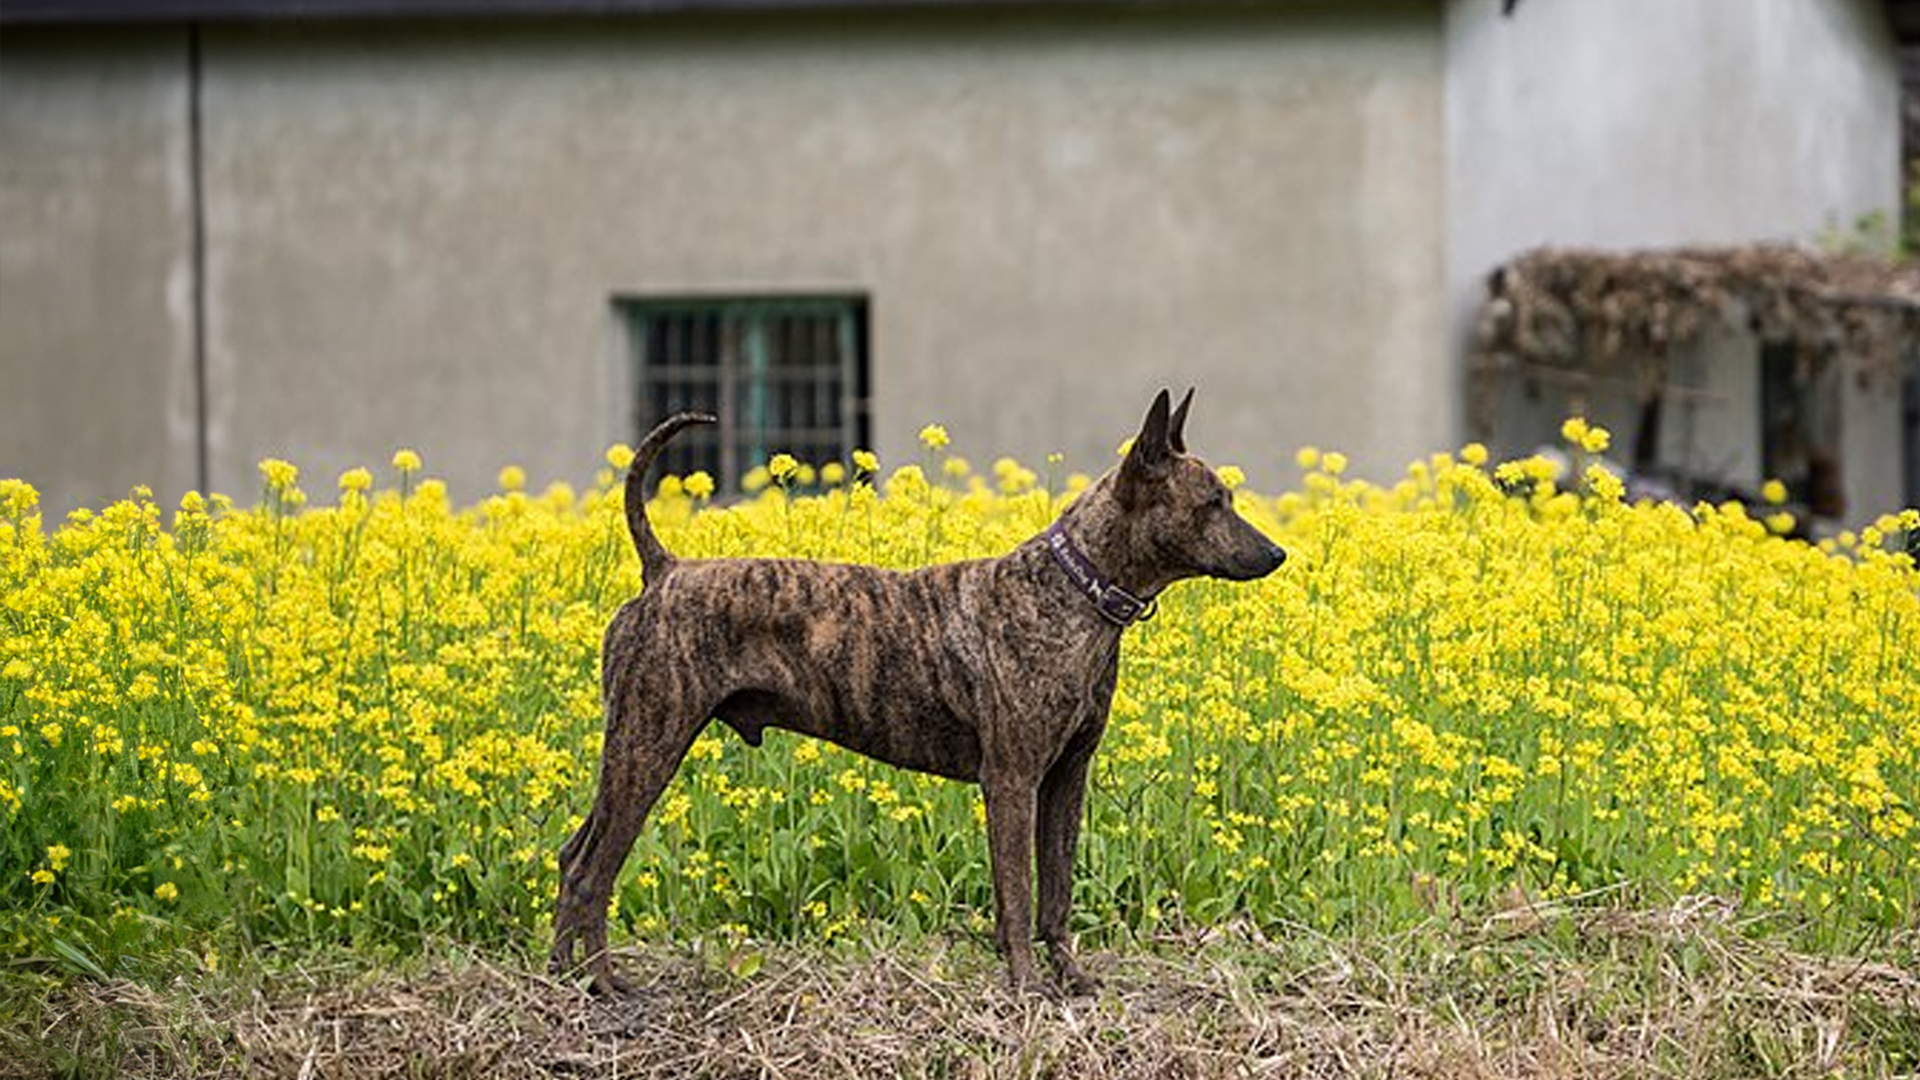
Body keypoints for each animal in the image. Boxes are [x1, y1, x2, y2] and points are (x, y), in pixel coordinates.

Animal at [549, 384, 1282, 991]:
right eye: (1212, 503)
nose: (1278, 554)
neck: (1076, 588)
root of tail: (664, 569)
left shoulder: (1066, 778)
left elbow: (1056, 893)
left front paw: (1070, 977)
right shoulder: (1012, 780)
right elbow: (1018, 895)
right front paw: (1027, 986)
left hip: (634, 752)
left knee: (570, 855)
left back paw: (562, 978)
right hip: (648, 746)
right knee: (592, 873)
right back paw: (603, 985)